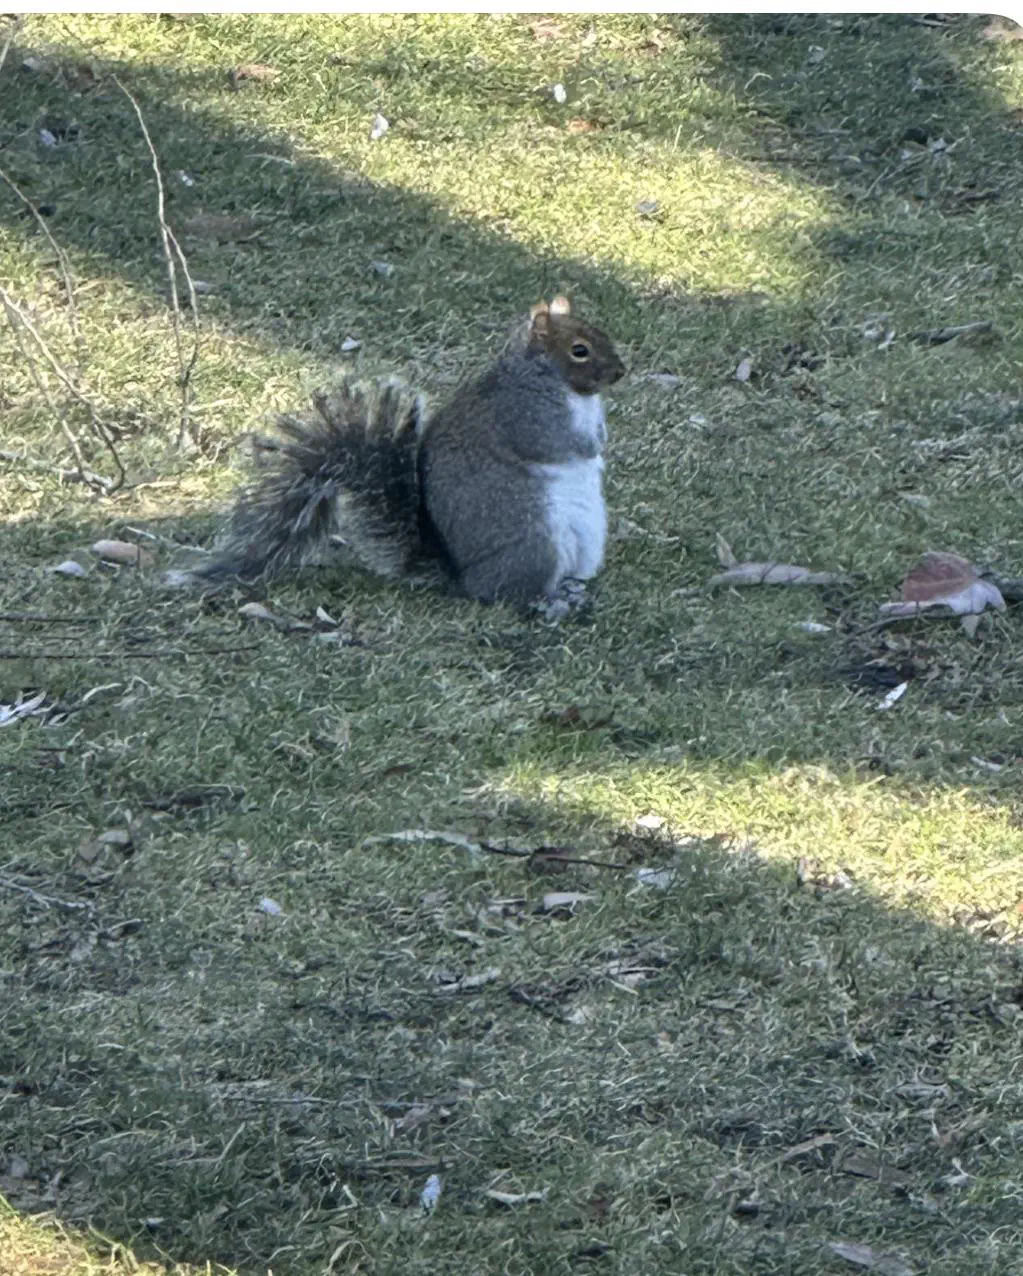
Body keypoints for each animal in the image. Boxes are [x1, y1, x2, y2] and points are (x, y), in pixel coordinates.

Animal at [168, 296, 626, 609]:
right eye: (579, 350)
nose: (621, 372)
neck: (560, 385)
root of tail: (462, 578)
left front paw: (602, 438)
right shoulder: (524, 414)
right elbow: (557, 443)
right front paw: (595, 447)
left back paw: (571, 591)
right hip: (536, 545)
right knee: (509, 595)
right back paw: (546, 602)